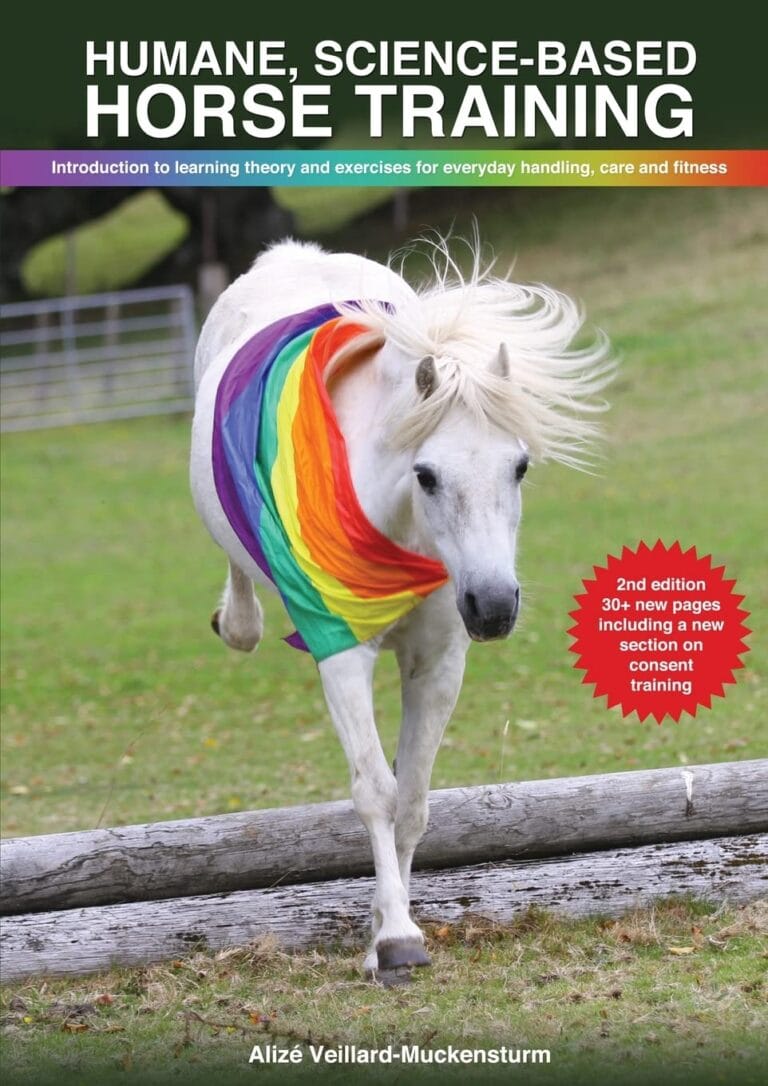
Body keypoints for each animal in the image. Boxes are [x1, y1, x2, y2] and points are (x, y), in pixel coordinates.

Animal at [190, 237, 612, 979]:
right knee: (239, 581)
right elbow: (376, 792)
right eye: (427, 474)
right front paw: (394, 941)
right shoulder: (341, 653)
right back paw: (239, 621)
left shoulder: (439, 662)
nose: (493, 605)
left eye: (520, 467)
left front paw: (389, 921)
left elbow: (412, 801)